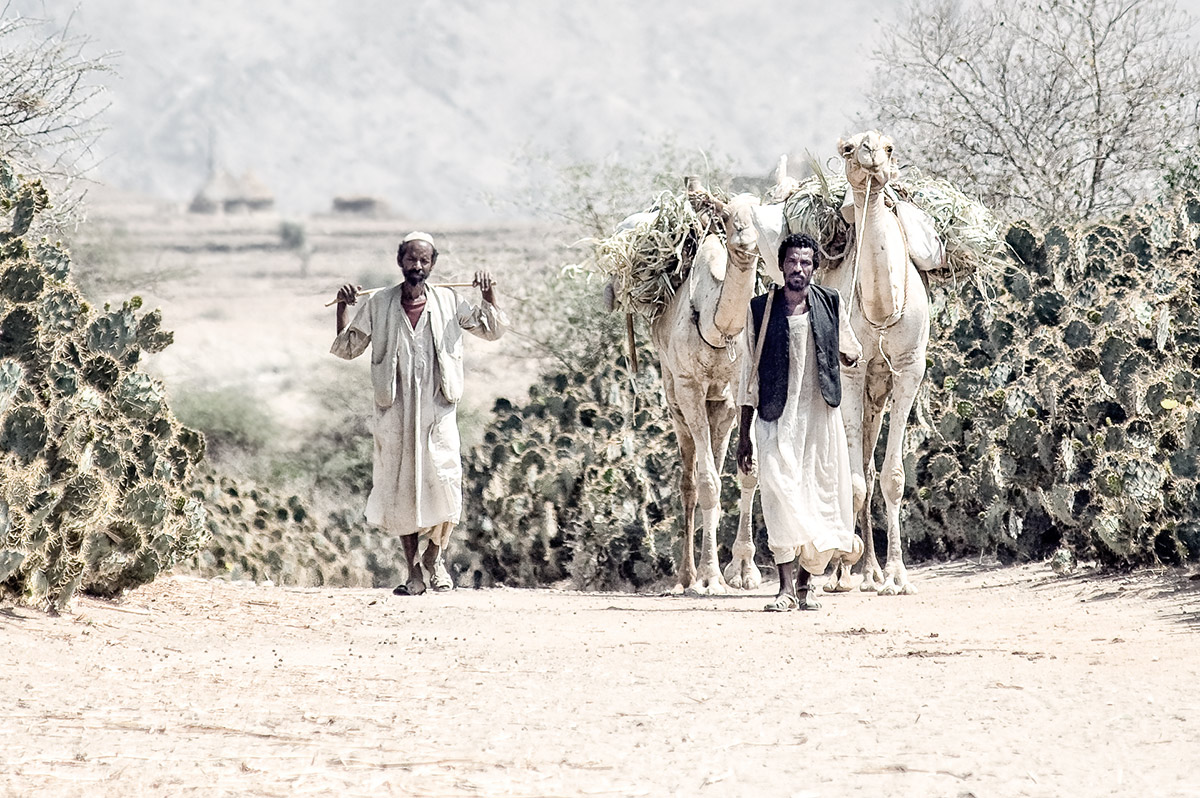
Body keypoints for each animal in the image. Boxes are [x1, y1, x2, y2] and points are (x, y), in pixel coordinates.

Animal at [652, 192, 763, 590]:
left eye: (759, 214)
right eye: (728, 216)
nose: (746, 240)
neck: (717, 329)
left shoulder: (742, 385)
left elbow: (748, 473)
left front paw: (744, 569)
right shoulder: (689, 387)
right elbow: (706, 484)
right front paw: (711, 576)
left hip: (721, 407)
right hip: (675, 400)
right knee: (688, 481)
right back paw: (687, 576)